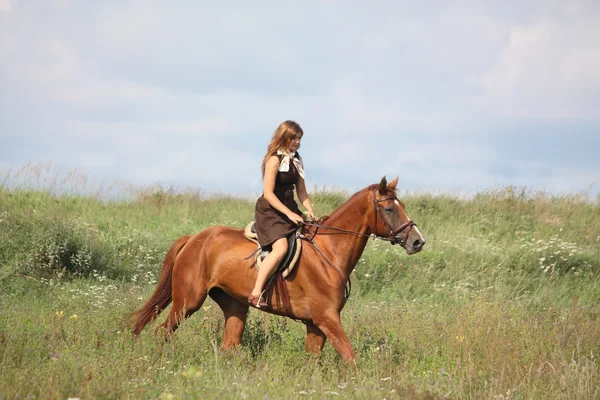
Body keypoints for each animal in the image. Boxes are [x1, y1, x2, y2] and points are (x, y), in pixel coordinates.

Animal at [129, 177, 424, 360]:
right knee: (163, 331)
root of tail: (193, 239)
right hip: (187, 301)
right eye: (389, 209)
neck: (329, 251)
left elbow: (312, 360)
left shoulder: (316, 324)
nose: (417, 241)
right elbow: (350, 356)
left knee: (230, 345)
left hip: (234, 305)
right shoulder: (327, 318)